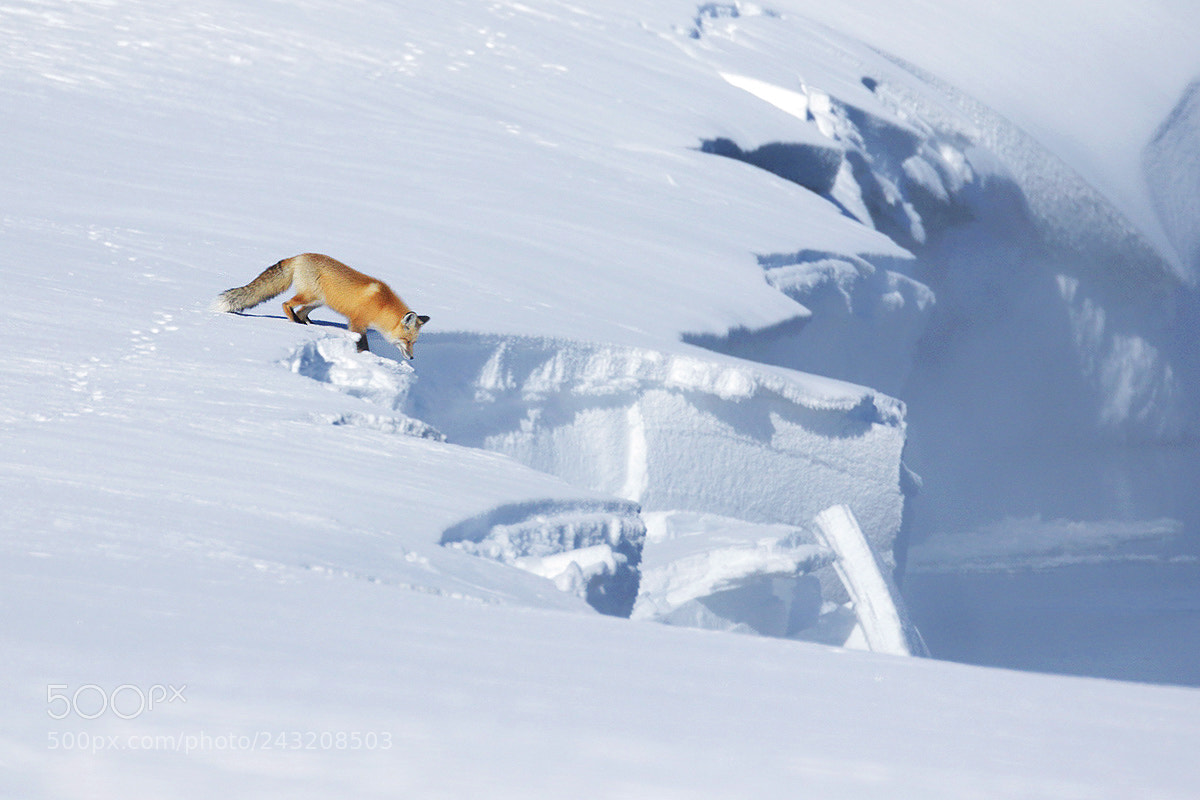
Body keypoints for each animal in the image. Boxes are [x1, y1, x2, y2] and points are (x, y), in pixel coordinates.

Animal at [211, 253, 430, 358]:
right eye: (407, 341)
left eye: (414, 342)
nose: (412, 358)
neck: (381, 306)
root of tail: (299, 256)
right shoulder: (357, 322)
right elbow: (363, 345)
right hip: (309, 296)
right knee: (286, 304)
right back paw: (295, 322)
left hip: (317, 301)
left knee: (301, 312)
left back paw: (307, 324)